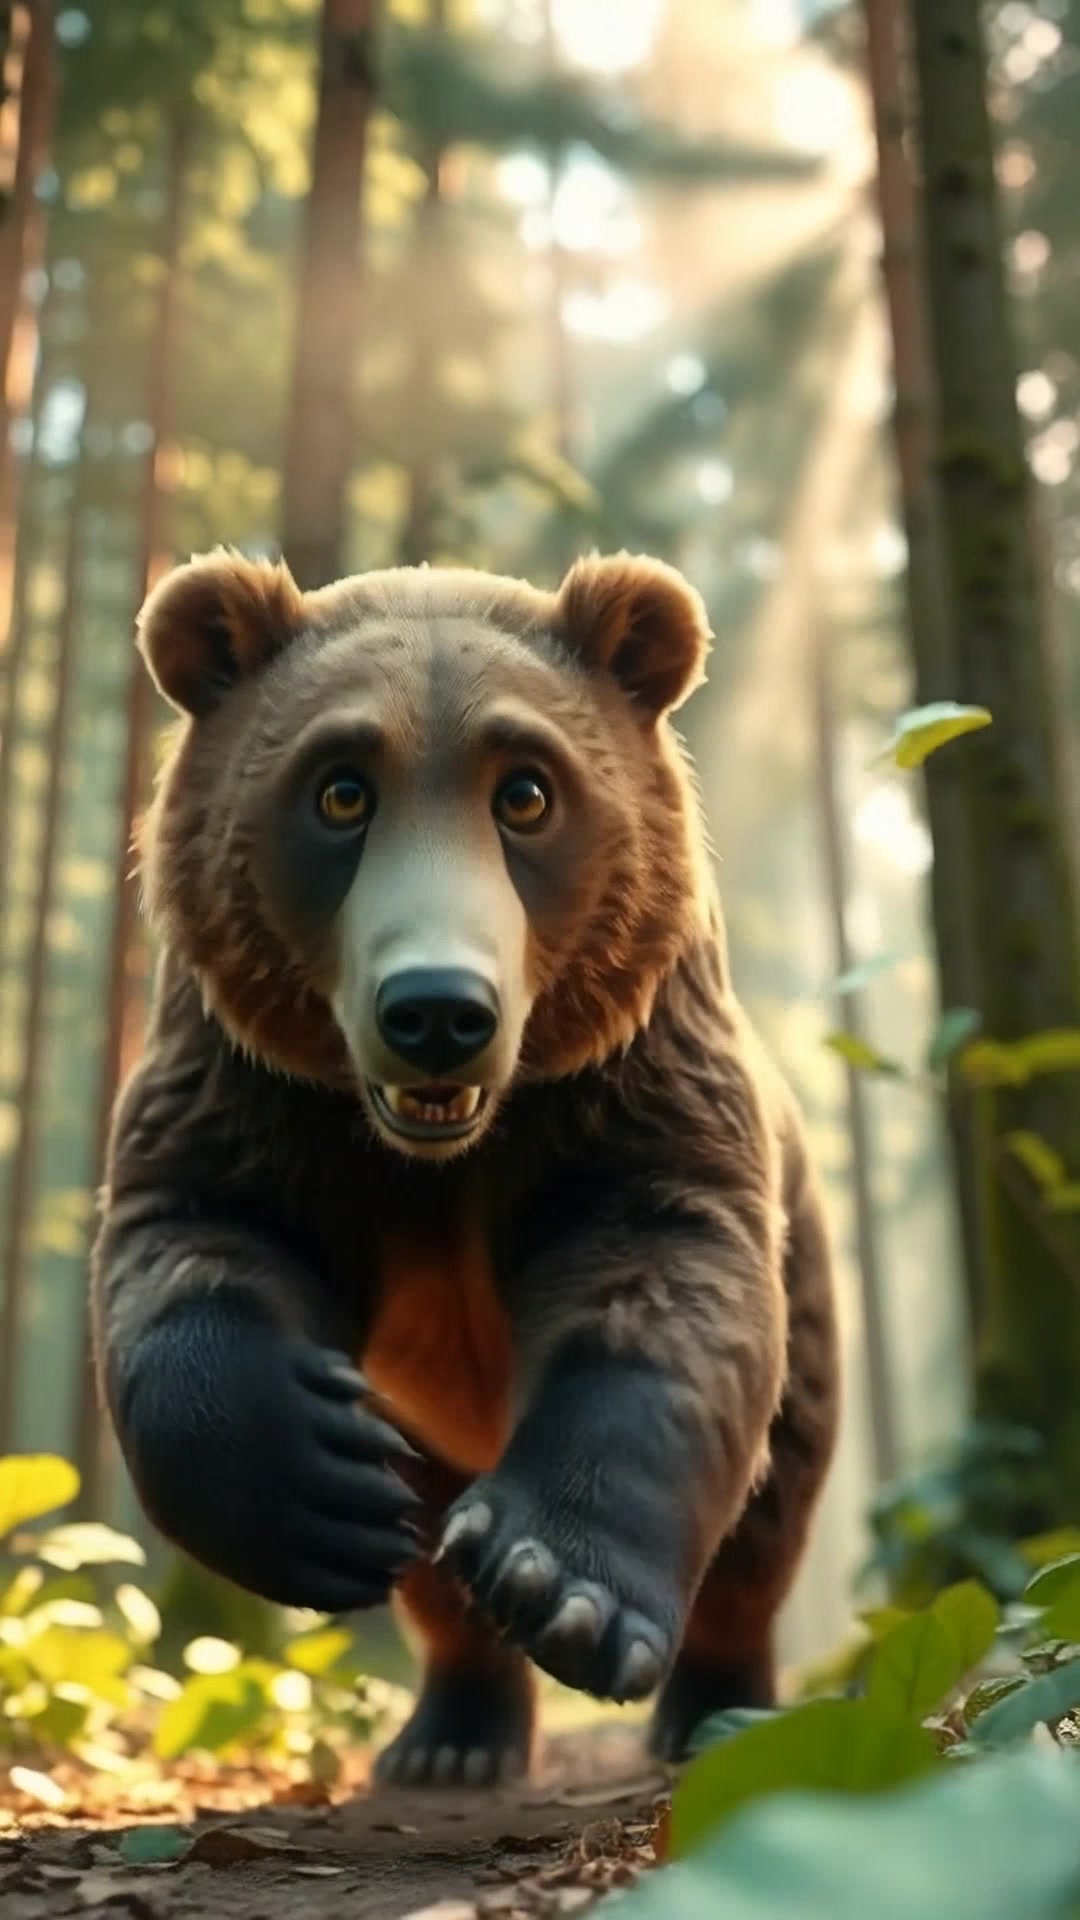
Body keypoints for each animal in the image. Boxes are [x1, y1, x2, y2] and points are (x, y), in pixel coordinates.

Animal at [91, 548, 840, 1786]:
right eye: (341, 790)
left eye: (526, 793)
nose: (437, 1010)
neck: (437, 1157)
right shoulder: (251, 1092)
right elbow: (192, 1247)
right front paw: (317, 1485)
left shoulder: (629, 1084)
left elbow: (661, 1290)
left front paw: (563, 1587)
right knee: (430, 1564)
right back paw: (448, 1737)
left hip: (811, 1266)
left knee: (770, 1512)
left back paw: (714, 1708)